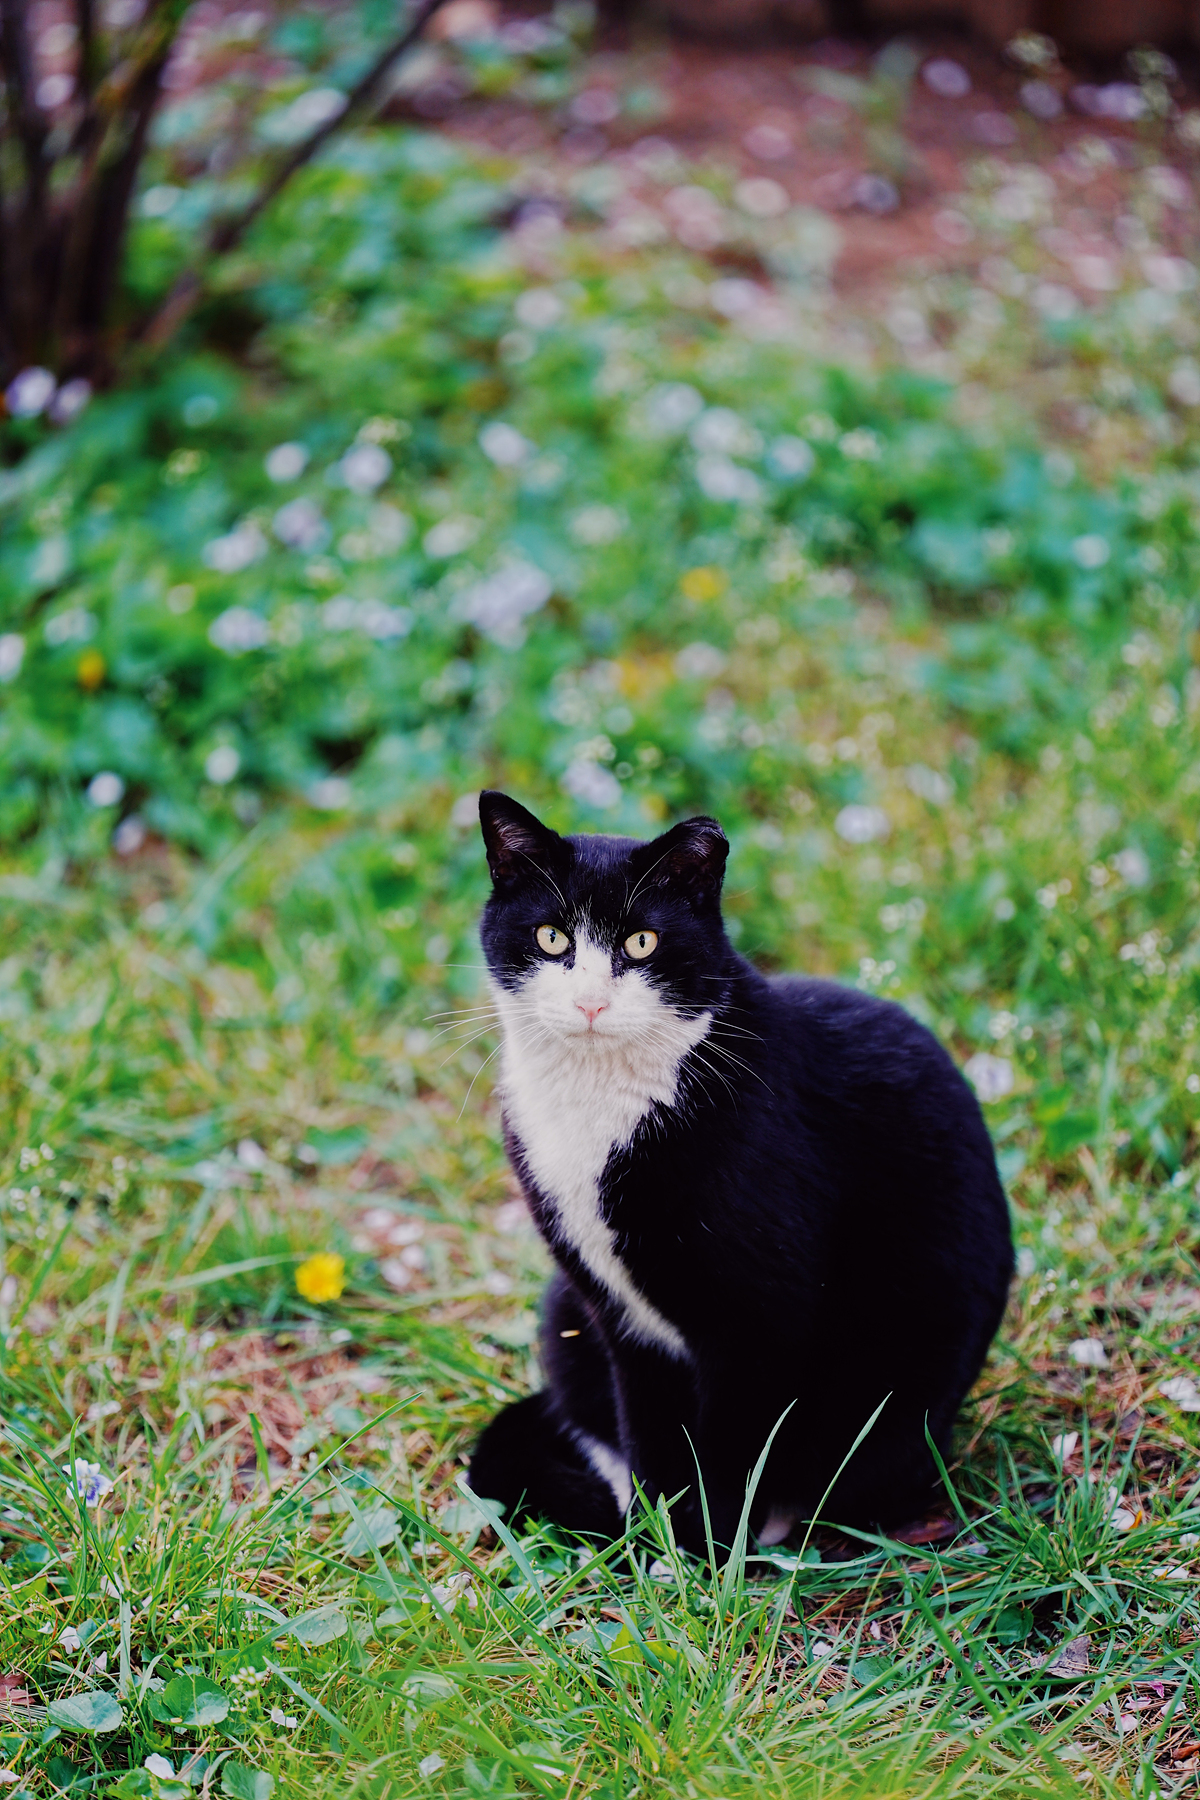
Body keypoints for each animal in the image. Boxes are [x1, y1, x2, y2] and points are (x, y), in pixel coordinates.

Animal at [467, 795, 1014, 1555]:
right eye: (551, 937)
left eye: (642, 943)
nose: (590, 1004)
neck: (602, 1106)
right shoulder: (618, 1317)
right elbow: (650, 1427)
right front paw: (657, 1541)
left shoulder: (762, 1313)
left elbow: (734, 1441)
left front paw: (708, 1547)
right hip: (561, 1306)